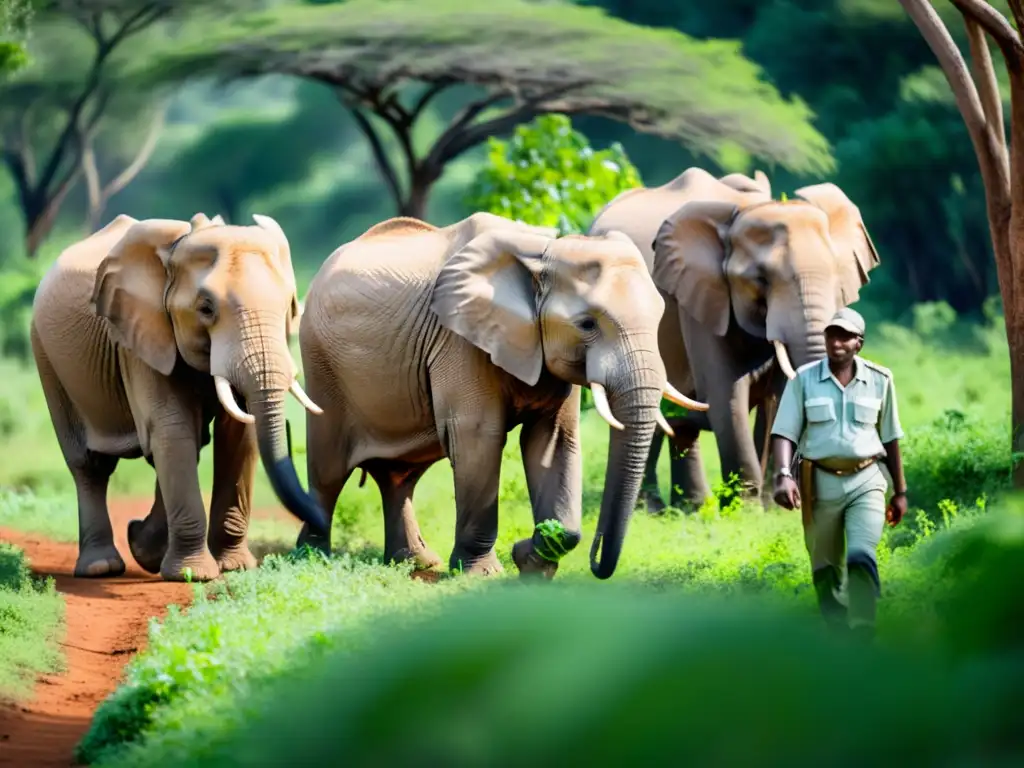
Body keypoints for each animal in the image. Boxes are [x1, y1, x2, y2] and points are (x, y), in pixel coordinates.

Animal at [29, 210, 327, 581]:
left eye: (290, 306)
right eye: (206, 308)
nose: (319, 524)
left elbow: (238, 434)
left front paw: (235, 568)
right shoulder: (141, 337)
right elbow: (173, 427)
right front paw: (192, 575)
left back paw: (144, 549)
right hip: (46, 356)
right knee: (89, 463)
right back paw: (102, 567)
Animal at [299, 211, 704, 581]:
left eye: (659, 317)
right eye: (587, 324)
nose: (596, 560)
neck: (542, 254)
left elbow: (552, 440)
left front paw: (533, 562)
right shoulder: (459, 339)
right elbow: (479, 437)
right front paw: (483, 573)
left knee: (399, 477)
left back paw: (416, 564)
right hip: (321, 365)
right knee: (328, 473)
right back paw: (311, 559)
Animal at [589, 168, 884, 514]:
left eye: (838, 275)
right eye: (761, 280)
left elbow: (779, 397)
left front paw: (775, 508)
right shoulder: (701, 297)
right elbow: (726, 394)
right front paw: (746, 510)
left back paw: (691, 507)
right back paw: (653, 509)